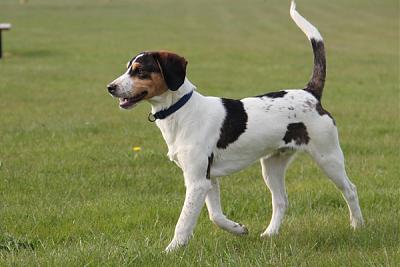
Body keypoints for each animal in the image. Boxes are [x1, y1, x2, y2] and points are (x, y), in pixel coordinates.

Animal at [108, 1, 364, 253]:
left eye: (140, 70)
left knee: (350, 189)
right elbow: (215, 216)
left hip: (328, 157)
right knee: (281, 201)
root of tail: (310, 93)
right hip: (271, 166)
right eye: (127, 68)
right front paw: (238, 229)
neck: (183, 111)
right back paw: (270, 234)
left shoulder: (197, 181)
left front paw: (171, 251)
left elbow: (184, 222)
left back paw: (358, 226)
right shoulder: (209, 179)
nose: (110, 87)